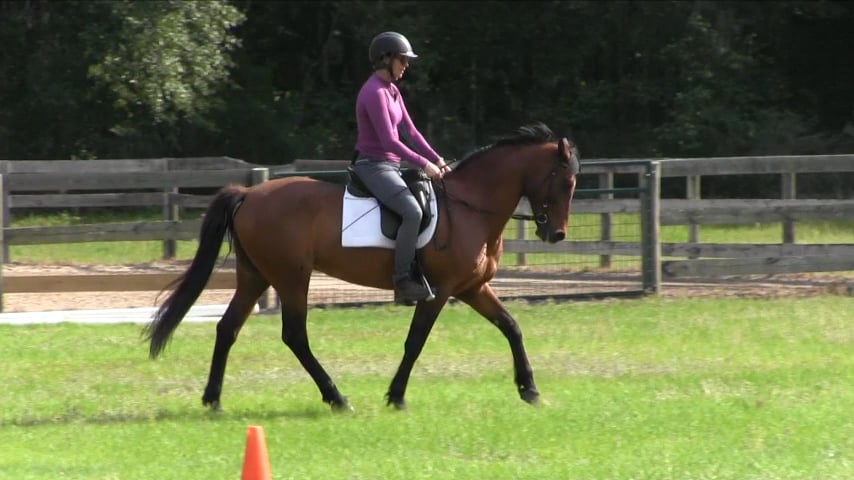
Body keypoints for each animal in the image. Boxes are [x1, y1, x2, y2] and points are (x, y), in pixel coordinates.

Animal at [143, 123, 580, 412]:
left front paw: (529, 389)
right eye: (564, 182)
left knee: (228, 328)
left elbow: (511, 326)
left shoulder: (472, 287)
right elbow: (416, 341)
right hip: (291, 277)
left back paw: (213, 400)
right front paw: (397, 396)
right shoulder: (440, 290)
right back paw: (336, 397)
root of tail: (249, 193)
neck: (471, 207)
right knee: (294, 335)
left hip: (256, 276)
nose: (556, 234)